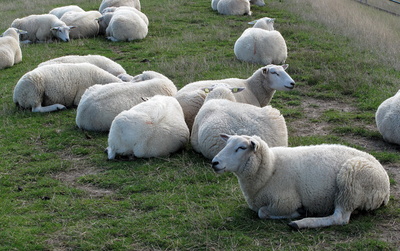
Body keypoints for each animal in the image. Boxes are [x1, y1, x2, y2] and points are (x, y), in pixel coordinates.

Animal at [212, 134, 390, 228]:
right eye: (227, 143)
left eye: (241, 148)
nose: (214, 162)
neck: (270, 168)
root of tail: (386, 190)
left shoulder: (285, 201)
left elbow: (262, 212)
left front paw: (297, 213)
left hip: (350, 182)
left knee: (340, 218)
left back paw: (301, 223)